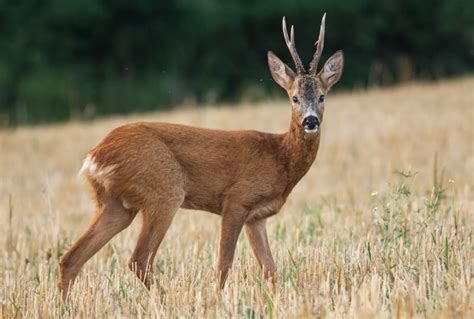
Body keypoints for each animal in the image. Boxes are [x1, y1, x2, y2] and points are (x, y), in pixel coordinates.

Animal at [59, 14, 342, 300]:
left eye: (322, 96)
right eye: (294, 98)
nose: (310, 121)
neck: (280, 157)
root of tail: (95, 156)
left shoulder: (257, 217)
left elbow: (271, 271)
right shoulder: (236, 200)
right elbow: (224, 264)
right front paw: (219, 300)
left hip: (116, 205)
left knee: (71, 257)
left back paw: (66, 304)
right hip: (163, 192)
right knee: (139, 260)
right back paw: (166, 299)